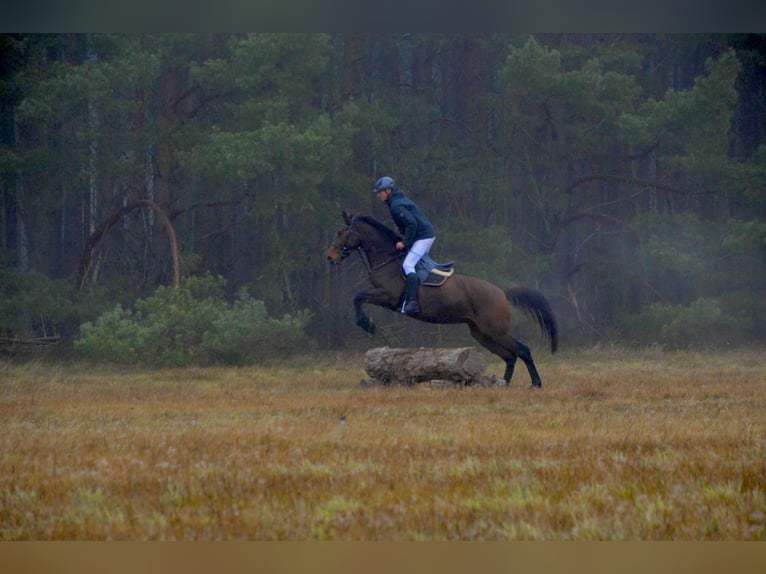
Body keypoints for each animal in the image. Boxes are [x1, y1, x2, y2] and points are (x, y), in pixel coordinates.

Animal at [326, 211, 558, 388]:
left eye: (340, 232)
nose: (330, 257)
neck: (388, 260)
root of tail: (502, 292)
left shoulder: (388, 297)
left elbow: (358, 297)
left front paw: (367, 324)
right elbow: (358, 298)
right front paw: (367, 324)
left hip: (495, 330)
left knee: (523, 350)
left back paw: (535, 383)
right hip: (480, 333)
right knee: (510, 355)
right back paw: (503, 384)